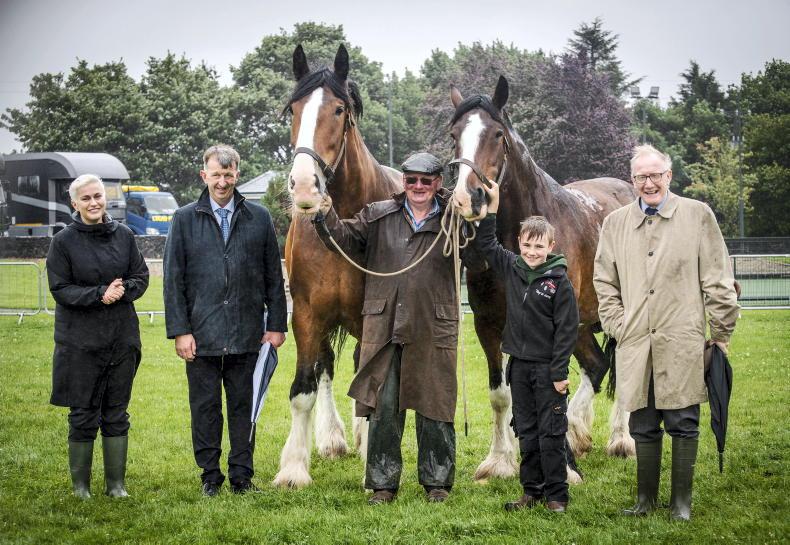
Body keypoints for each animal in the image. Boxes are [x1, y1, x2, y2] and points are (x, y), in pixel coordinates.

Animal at [274, 44, 402, 488]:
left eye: (339, 109)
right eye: (293, 109)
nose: (304, 185)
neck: (344, 227)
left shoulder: (372, 318)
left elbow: (370, 386)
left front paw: (372, 464)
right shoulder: (307, 316)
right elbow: (303, 389)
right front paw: (293, 469)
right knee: (327, 366)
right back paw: (332, 439)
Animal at [448, 76, 637, 481]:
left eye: (498, 134)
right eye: (454, 134)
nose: (468, 198)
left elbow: (553, 389)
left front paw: (563, 467)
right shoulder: (488, 325)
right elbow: (500, 394)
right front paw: (500, 461)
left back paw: (620, 440)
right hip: (583, 324)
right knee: (596, 366)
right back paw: (579, 434)